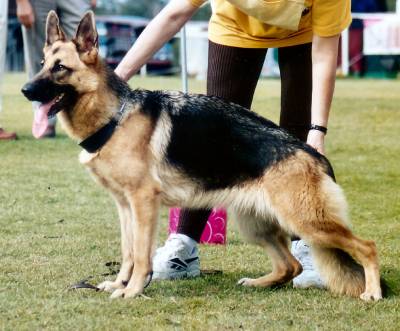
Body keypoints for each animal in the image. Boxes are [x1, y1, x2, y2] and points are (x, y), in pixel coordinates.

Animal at [21, 11, 382, 300]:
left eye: (60, 68)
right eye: (41, 66)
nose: (25, 90)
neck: (116, 116)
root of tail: (312, 154)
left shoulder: (142, 203)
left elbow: (141, 255)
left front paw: (133, 290)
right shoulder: (124, 206)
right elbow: (127, 251)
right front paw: (119, 283)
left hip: (307, 222)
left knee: (366, 247)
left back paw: (372, 292)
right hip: (255, 223)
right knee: (289, 266)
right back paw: (259, 283)